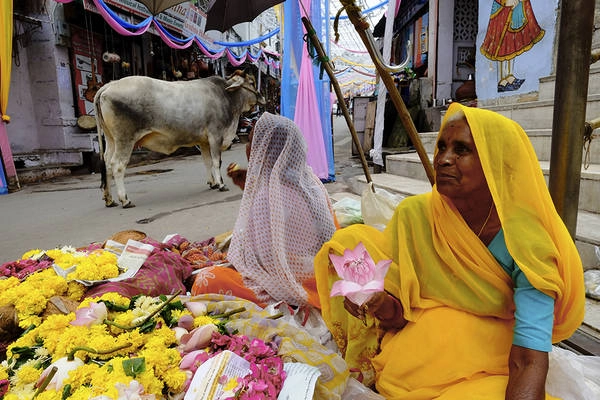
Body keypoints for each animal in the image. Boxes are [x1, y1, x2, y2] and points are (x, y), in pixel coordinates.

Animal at [94, 70, 264, 208]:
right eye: (252, 82)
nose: (262, 98)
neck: (226, 96)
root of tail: (109, 85)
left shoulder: (203, 141)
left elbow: (207, 162)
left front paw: (213, 183)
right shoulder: (215, 136)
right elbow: (216, 162)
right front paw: (221, 184)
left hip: (111, 140)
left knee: (107, 164)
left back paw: (109, 199)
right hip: (125, 140)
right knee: (117, 165)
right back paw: (125, 200)